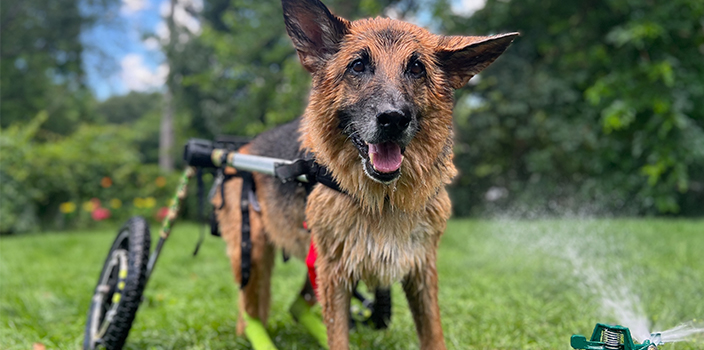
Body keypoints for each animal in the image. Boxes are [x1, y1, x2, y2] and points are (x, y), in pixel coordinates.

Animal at [212, 0, 516, 348]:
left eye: (416, 68)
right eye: (358, 66)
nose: (393, 119)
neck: (384, 200)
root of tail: (243, 149)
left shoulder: (420, 269)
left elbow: (433, 335)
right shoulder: (336, 274)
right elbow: (337, 337)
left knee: (295, 306)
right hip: (255, 253)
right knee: (250, 315)